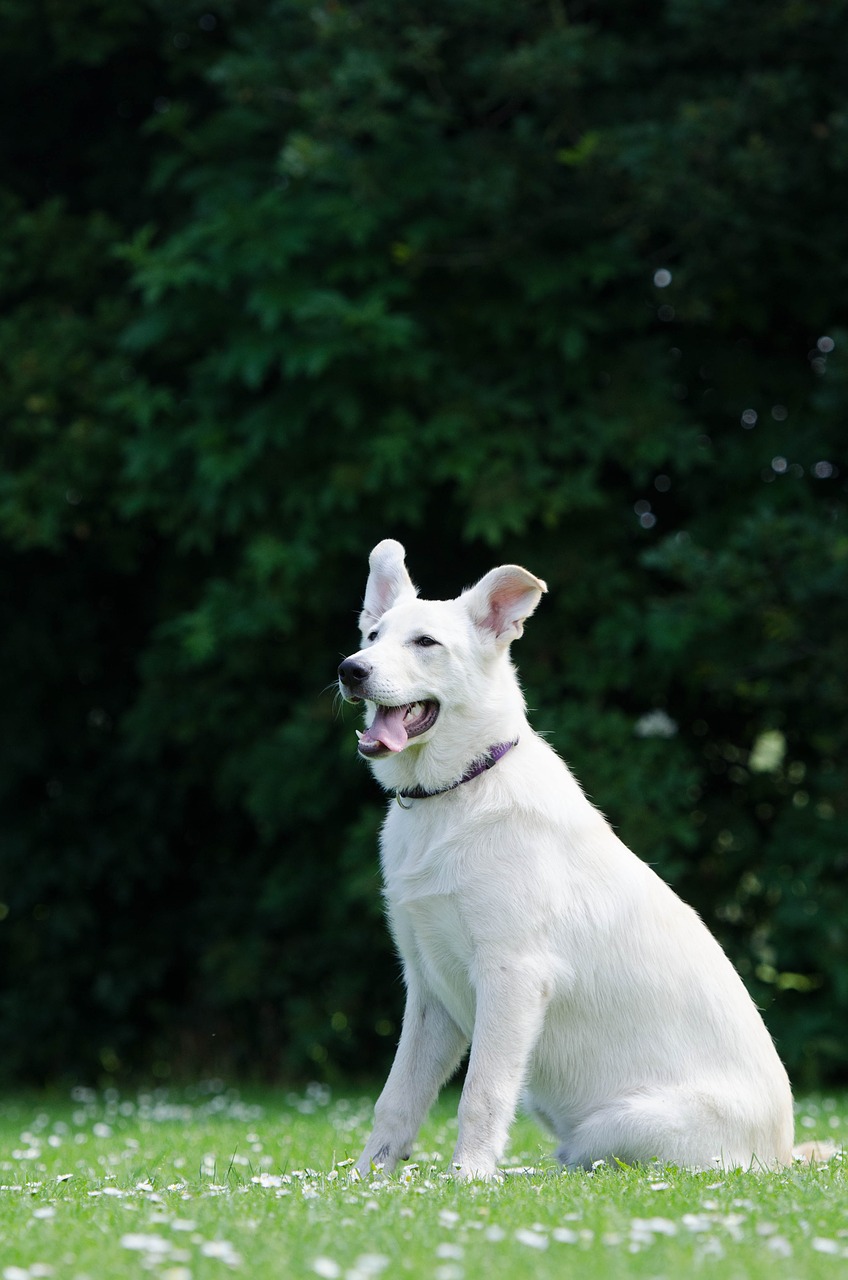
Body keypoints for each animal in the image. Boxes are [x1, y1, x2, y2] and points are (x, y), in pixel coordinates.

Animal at [338, 540, 799, 1177]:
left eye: (426, 643)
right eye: (373, 634)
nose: (350, 670)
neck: (456, 792)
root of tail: (782, 1155)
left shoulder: (511, 976)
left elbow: (481, 1093)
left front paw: (468, 1177)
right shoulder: (428, 990)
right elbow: (396, 1100)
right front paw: (366, 1181)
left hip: (614, 1127)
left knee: (586, 1161)